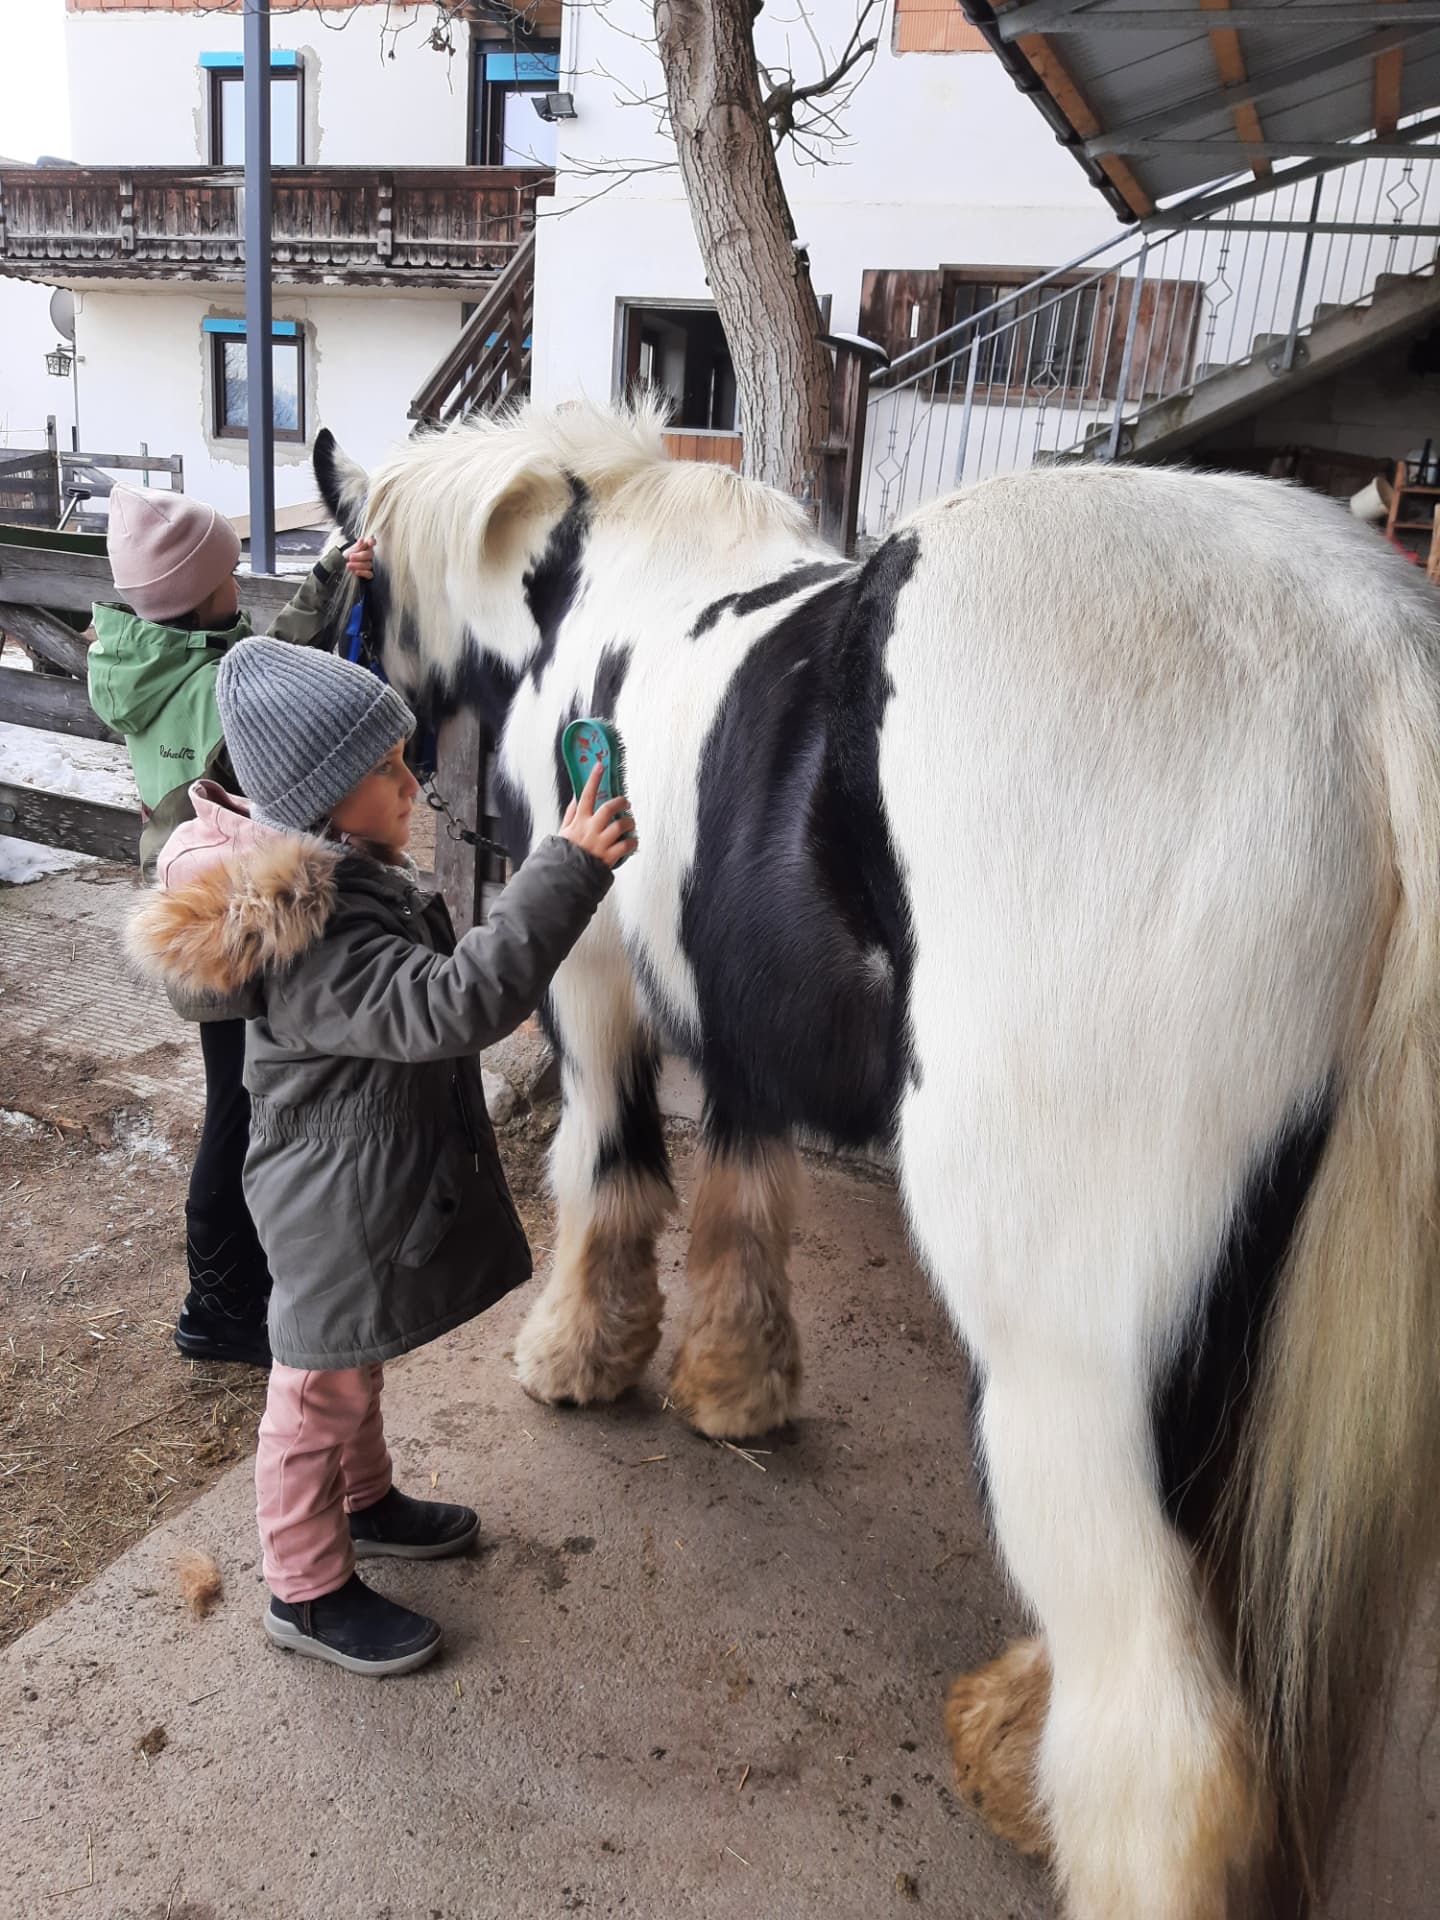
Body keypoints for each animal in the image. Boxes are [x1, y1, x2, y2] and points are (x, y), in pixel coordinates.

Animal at [311, 399, 1440, 1919]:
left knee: (1167, 1740)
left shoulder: (595, 979)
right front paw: (735, 1387)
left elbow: (609, 1172)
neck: (586, 587)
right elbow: (740, 1195)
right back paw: (1014, 1745)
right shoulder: (737, 1006)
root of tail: (1367, 663)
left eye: (342, 583)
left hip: (1066, 1355)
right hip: (1227, 1330)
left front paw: (578, 1356)